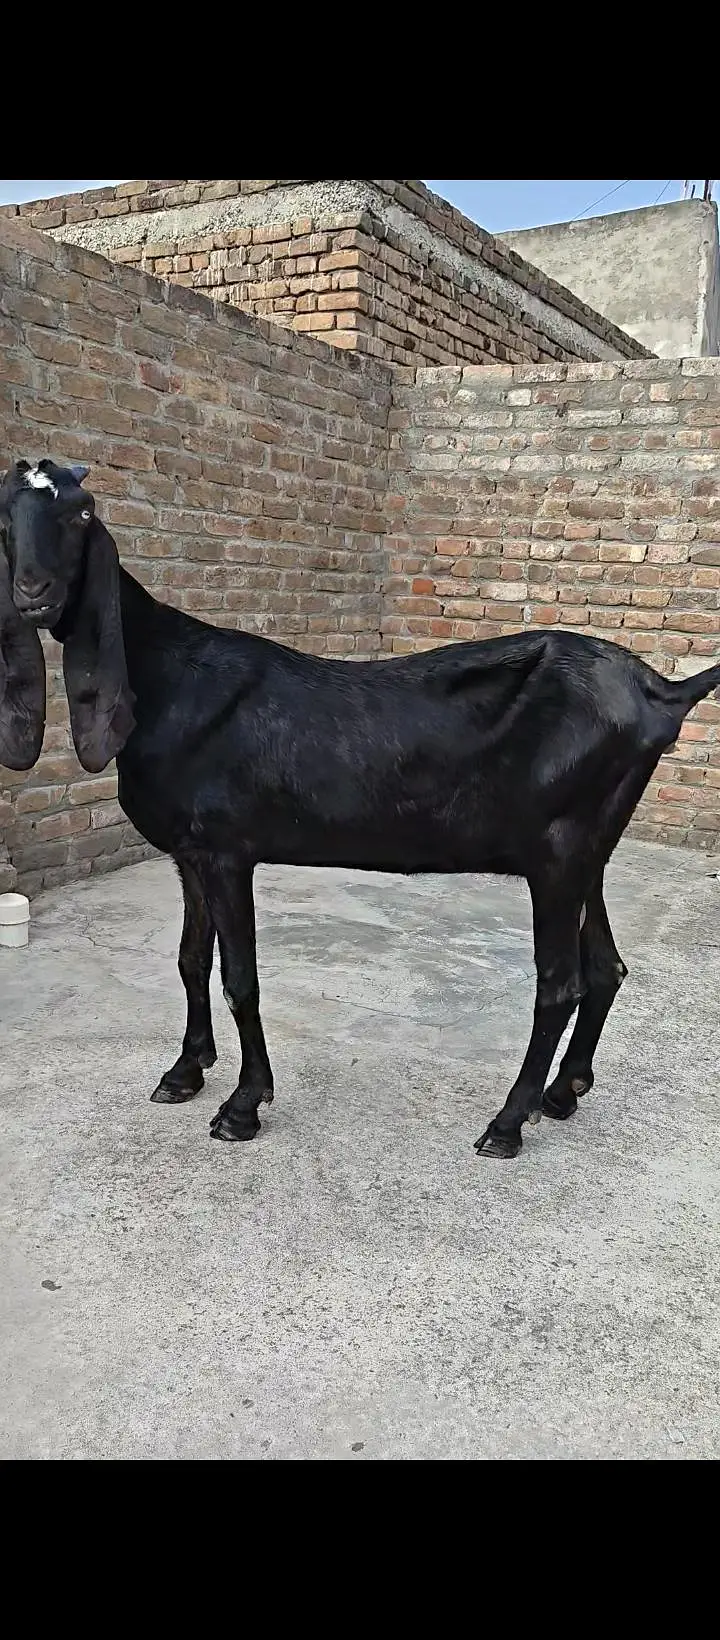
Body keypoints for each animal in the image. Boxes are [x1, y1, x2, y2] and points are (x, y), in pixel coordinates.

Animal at [2, 456, 719, 1160]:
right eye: (7, 515)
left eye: (81, 514)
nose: (33, 592)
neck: (170, 679)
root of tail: (660, 692)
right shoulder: (189, 853)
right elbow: (189, 960)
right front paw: (185, 1071)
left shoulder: (227, 852)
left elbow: (240, 977)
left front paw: (243, 1104)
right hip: (586, 849)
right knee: (606, 968)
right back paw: (563, 1093)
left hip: (559, 854)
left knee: (560, 983)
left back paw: (508, 1122)